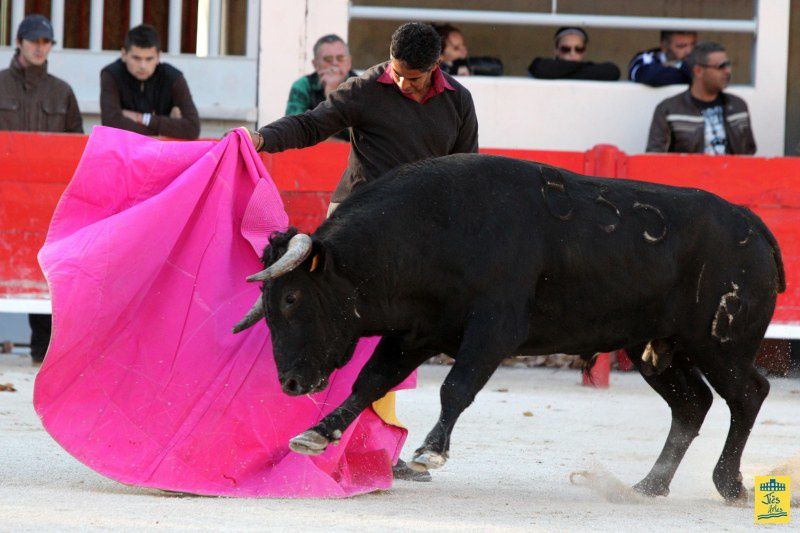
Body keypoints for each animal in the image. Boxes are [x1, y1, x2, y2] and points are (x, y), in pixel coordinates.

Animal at [234, 153, 784, 498]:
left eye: (292, 298)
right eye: (268, 302)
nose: (290, 383)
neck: (435, 229)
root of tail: (753, 224)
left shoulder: (493, 330)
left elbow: (455, 388)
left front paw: (430, 453)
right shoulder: (416, 333)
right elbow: (371, 382)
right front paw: (316, 433)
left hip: (720, 344)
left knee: (749, 393)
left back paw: (729, 485)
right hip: (656, 348)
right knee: (693, 404)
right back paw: (649, 486)